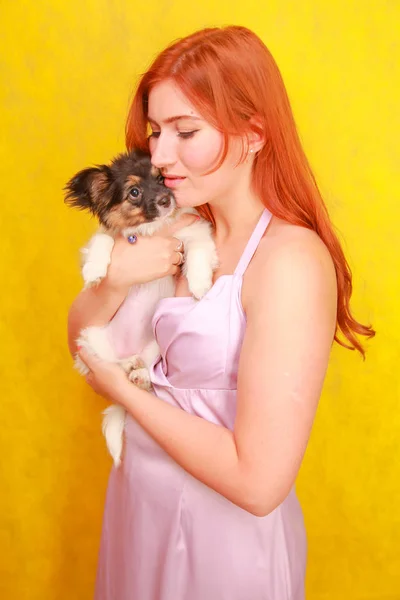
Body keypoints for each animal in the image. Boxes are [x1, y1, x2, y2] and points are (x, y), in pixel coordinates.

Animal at [65, 148, 219, 466]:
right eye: (134, 192)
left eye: (161, 179)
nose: (165, 200)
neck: (150, 230)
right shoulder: (107, 238)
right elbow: (102, 242)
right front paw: (94, 271)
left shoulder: (196, 234)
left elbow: (198, 253)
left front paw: (199, 285)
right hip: (90, 340)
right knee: (114, 365)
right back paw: (128, 365)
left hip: (157, 347)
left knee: (148, 376)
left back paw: (139, 373)